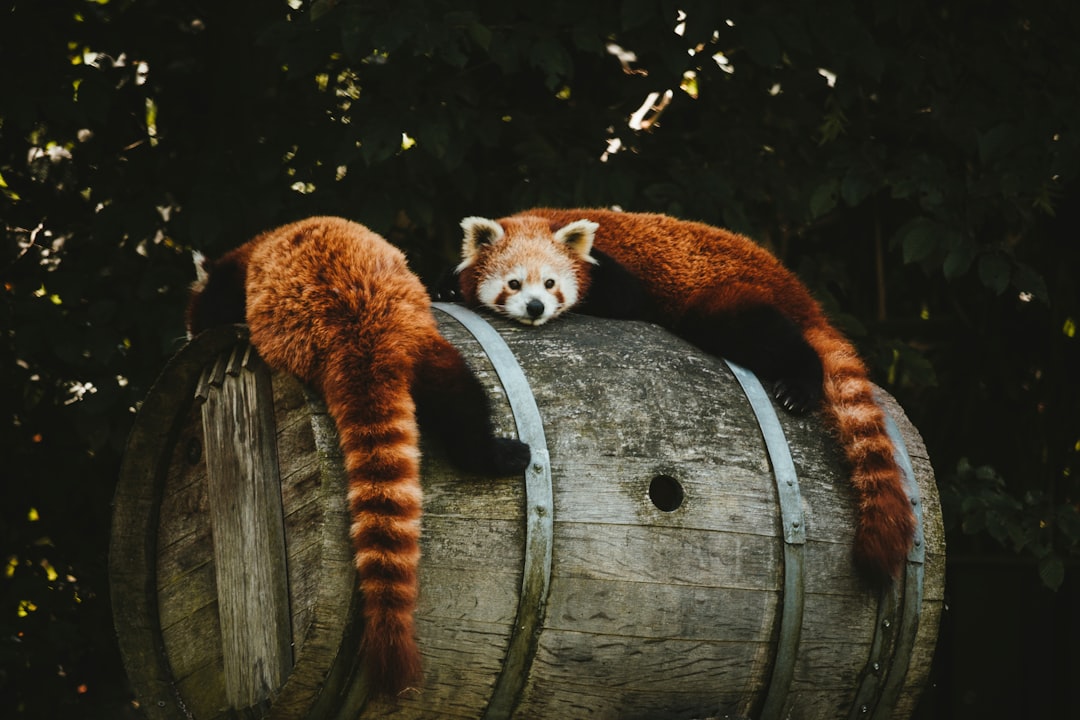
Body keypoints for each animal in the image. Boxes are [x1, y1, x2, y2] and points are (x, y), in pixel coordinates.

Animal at [186, 215, 531, 699]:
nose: (190, 339)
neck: (250, 251)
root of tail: (359, 334)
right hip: (422, 339)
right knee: (461, 401)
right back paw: (497, 456)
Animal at [451, 209, 915, 587]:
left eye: (550, 283)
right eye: (514, 284)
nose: (535, 307)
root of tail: (798, 291)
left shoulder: (614, 274)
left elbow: (628, 299)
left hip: (725, 295)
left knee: (761, 333)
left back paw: (801, 382)